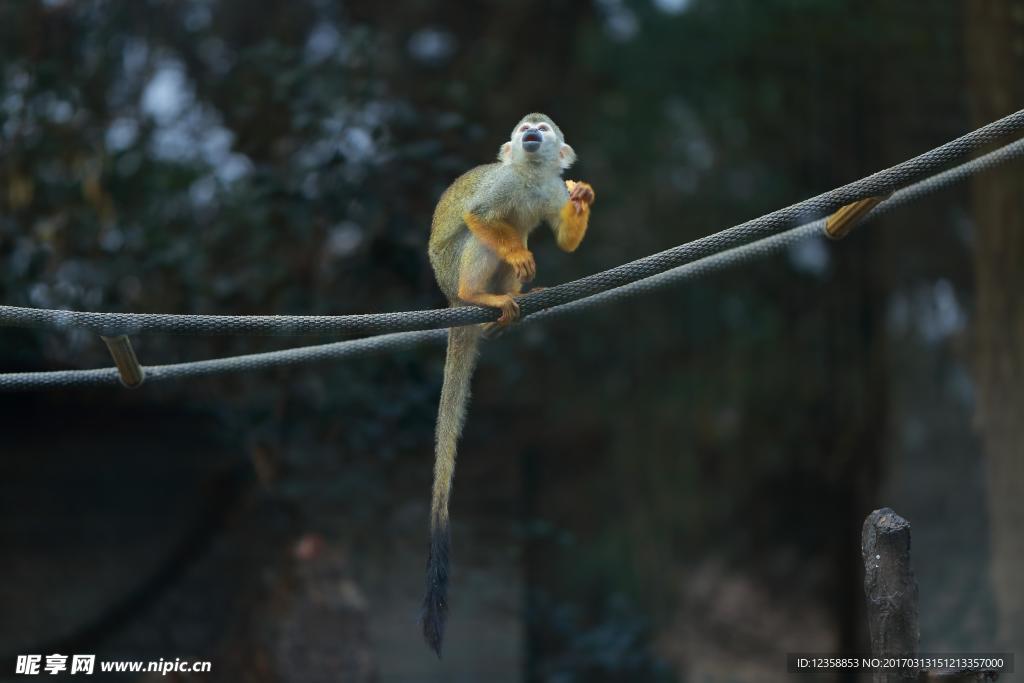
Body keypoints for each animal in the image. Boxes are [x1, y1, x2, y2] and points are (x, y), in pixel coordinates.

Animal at [421, 113, 598, 655]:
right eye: (524, 129)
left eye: (542, 129)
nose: (530, 134)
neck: (532, 175)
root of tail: (449, 299)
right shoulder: (502, 185)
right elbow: (480, 217)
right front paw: (515, 250)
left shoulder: (550, 188)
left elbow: (560, 236)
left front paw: (581, 199)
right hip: (452, 271)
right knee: (480, 240)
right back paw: (483, 293)